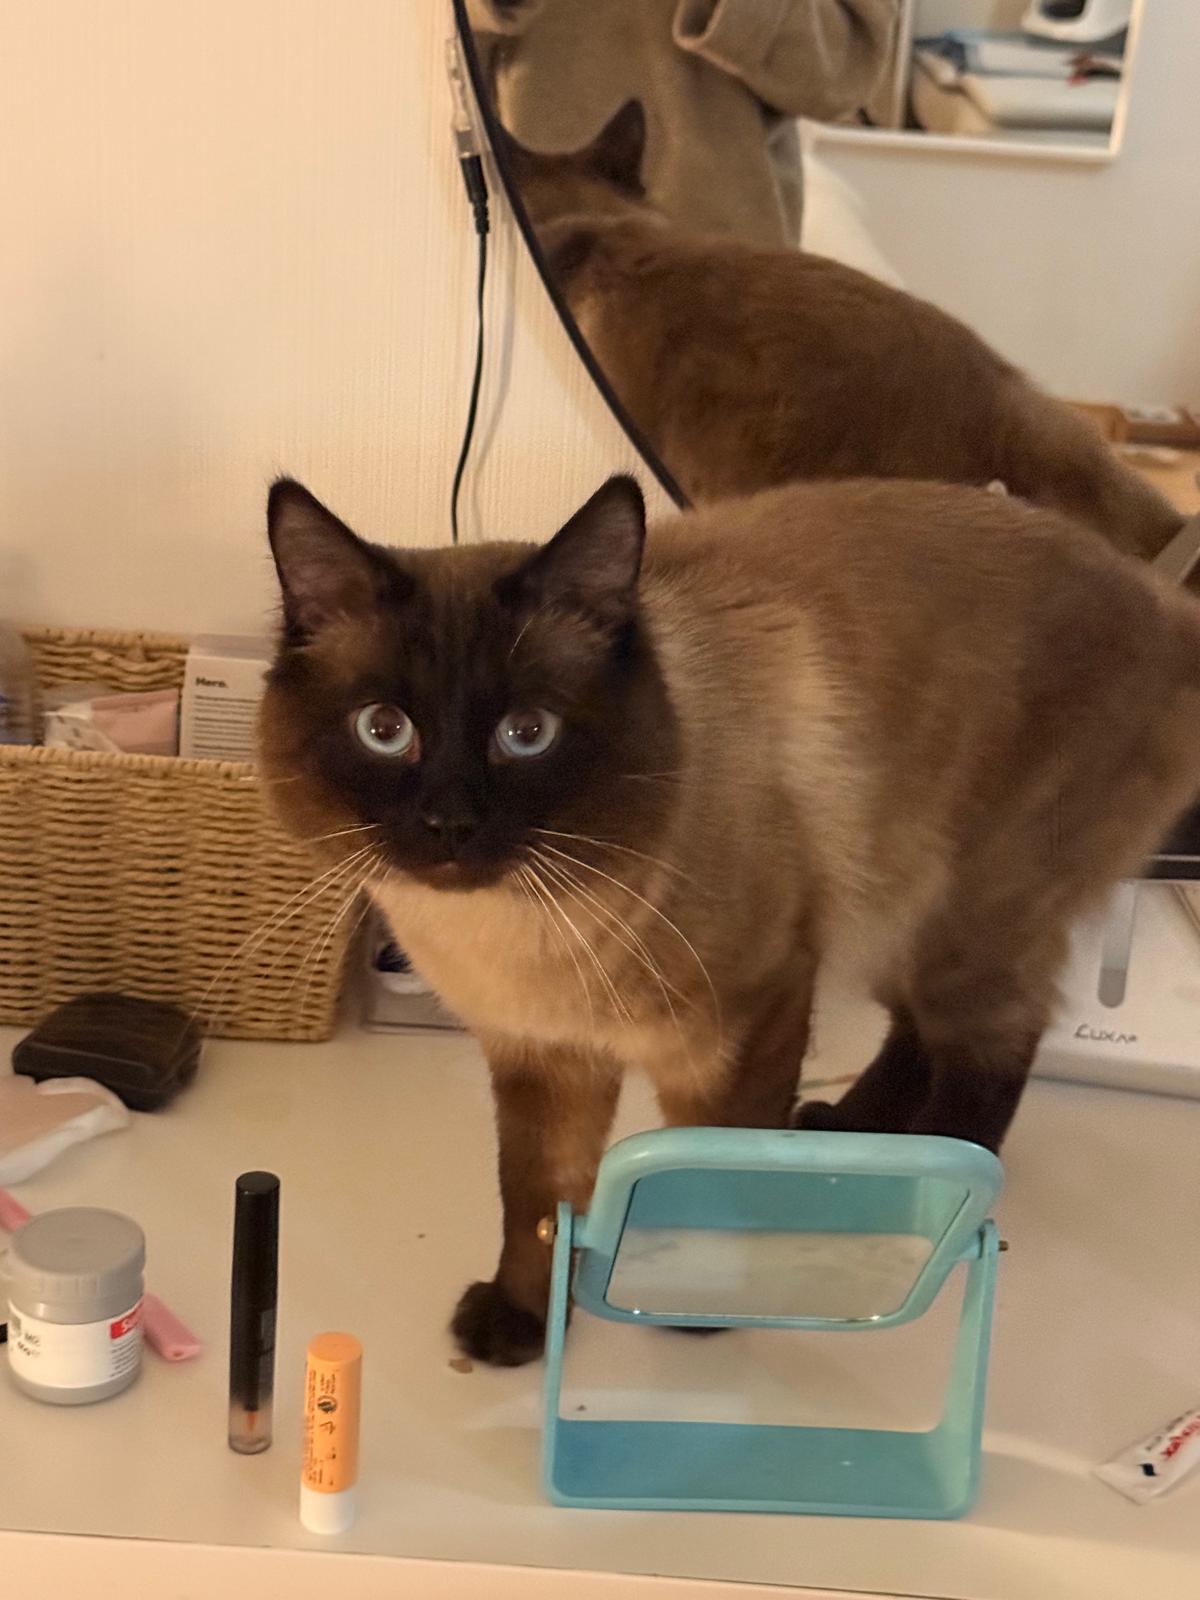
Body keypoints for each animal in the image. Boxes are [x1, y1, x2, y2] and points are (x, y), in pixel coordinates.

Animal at [261, 473, 1200, 1366]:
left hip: (962, 921)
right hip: (889, 916)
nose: (449, 825)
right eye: (384, 730)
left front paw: (694, 1315)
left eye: (526, 733)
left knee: (993, 1050)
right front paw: (522, 1328)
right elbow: (537, 1200)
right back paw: (847, 1136)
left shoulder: (750, 1018)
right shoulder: (545, 1054)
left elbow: (713, 1184)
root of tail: (1158, 596)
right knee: (917, 1032)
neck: (519, 930)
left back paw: (928, 1197)